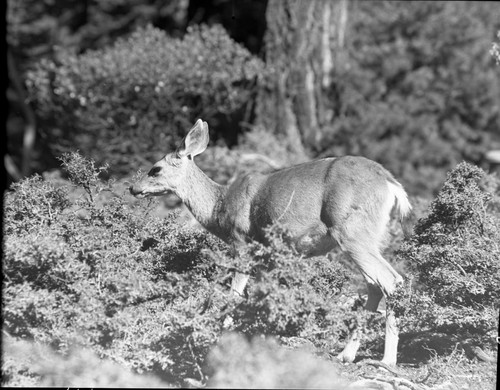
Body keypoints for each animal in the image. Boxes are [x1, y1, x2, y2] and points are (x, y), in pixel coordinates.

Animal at [128, 118, 410, 366]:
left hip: (351, 232)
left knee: (391, 280)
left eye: (156, 168)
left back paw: (386, 360)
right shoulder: (267, 257)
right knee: (375, 285)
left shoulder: (242, 241)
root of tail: (391, 185)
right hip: (368, 237)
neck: (220, 205)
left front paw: (221, 334)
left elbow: (235, 293)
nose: (133, 188)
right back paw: (346, 355)